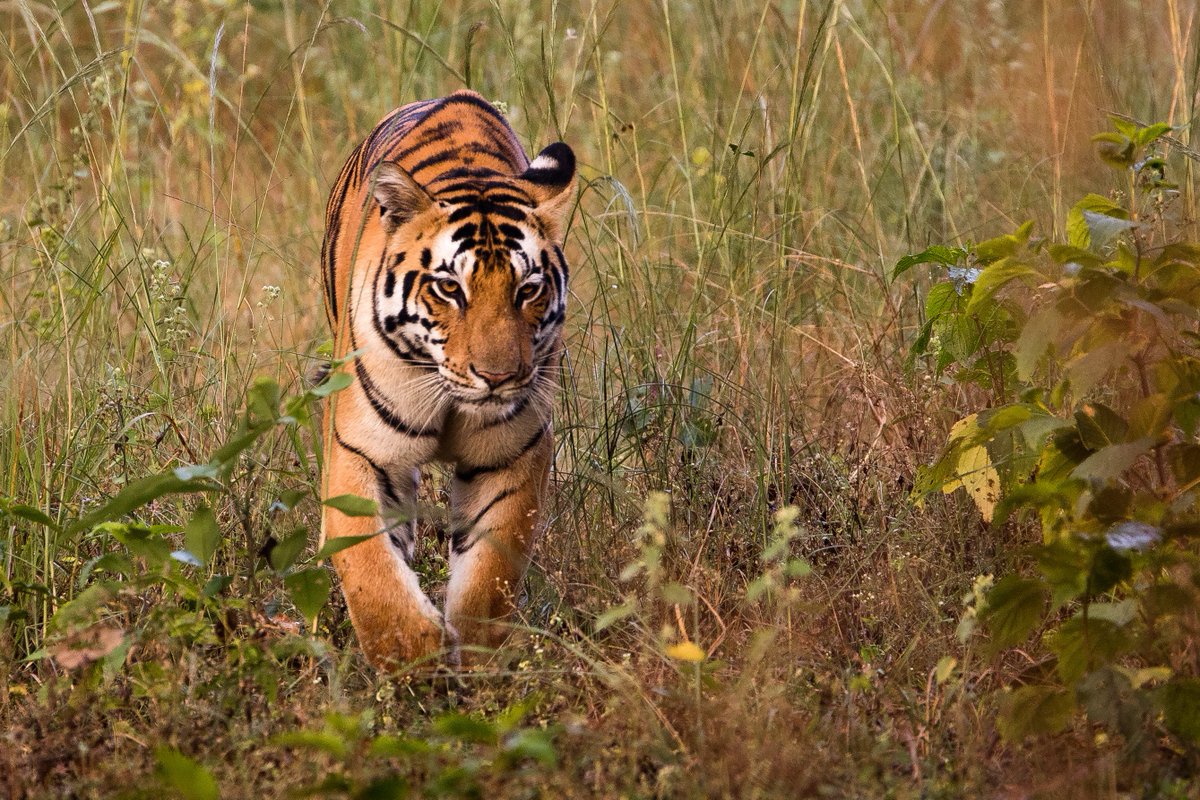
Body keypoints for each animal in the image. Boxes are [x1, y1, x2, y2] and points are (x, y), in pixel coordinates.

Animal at [318, 90, 575, 669]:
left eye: (528, 289)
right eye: (449, 288)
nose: (498, 377)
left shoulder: (513, 454)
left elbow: (488, 579)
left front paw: (474, 664)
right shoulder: (360, 449)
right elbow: (370, 569)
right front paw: (414, 663)